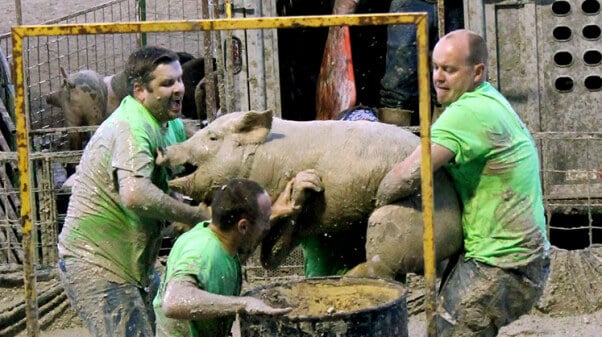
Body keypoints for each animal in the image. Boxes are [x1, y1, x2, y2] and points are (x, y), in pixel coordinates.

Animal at [157, 109, 462, 278]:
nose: (164, 150)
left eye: (213, 138)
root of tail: (457, 235)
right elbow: (272, 254)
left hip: (398, 220)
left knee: (383, 267)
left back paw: (348, 278)